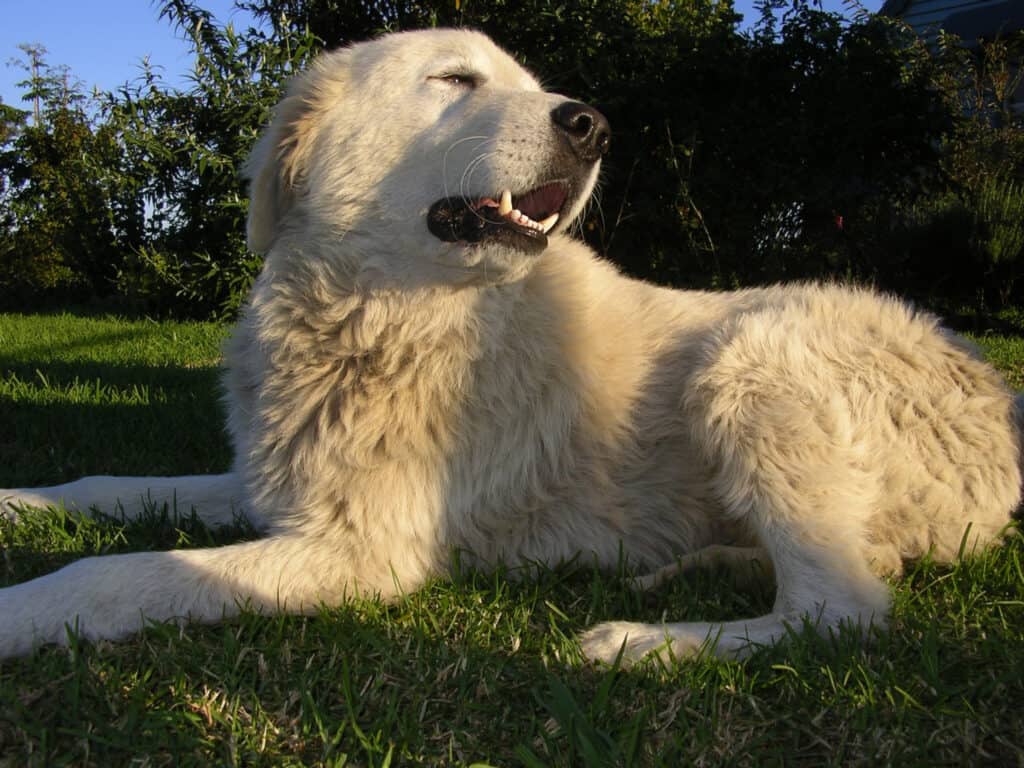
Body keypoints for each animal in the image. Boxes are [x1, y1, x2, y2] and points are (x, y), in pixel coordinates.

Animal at [0, 30, 1019, 663]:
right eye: (456, 80)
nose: (593, 125)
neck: (380, 317)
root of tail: (999, 403)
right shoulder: (274, 489)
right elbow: (107, 488)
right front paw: (19, 502)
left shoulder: (358, 552)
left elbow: (119, 573)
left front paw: (24, 611)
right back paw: (685, 569)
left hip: (751, 354)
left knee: (842, 613)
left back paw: (646, 642)